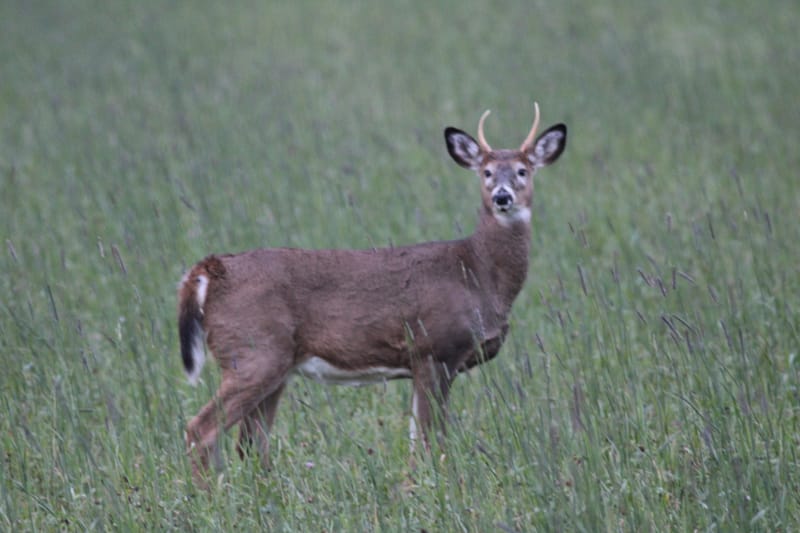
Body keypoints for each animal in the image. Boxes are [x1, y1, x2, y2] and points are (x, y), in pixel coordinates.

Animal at [178, 103, 567, 484]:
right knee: (202, 429)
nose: (503, 197)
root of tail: (211, 270)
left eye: (522, 170)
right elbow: (429, 440)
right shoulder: (434, 349)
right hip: (253, 353)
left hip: (273, 365)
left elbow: (422, 438)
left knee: (250, 444)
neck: (476, 272)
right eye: (486, 172)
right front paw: (429, 488)